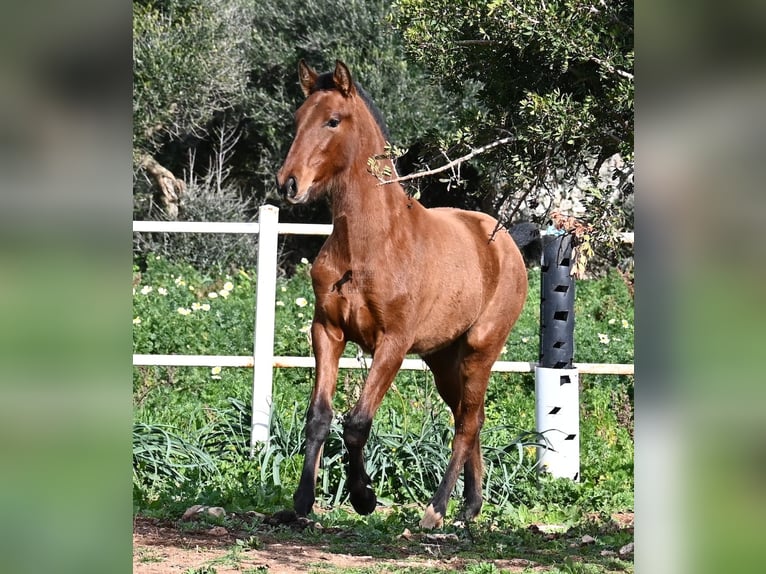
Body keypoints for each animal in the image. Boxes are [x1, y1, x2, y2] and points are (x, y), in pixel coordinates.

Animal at [278, 60, 540, 528]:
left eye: (333, 120)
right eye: (297, 119)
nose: (288, 184)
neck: (369, 245)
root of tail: (506, 239)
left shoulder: (393, 344)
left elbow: (357, 422)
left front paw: (364, 497)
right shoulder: (327, 332)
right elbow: (319, 417)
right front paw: (302, 502)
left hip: (480, 349)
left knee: (466, 422)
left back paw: (436, 509)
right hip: (443, 359)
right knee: (470, 415)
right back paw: (470, 506)